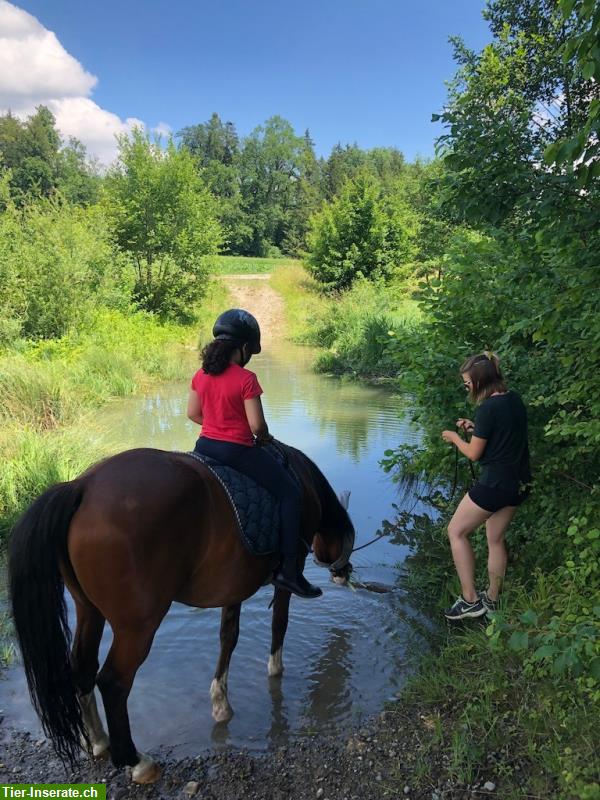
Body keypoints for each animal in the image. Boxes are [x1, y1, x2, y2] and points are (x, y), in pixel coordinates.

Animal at [7, 446, 354, 784]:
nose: (344, 573)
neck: (303, 482)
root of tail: (83, 486)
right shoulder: (286, 577)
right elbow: (279, 624)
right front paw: (275, 671)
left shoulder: (233, 588)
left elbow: (228, 638)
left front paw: (220, 702)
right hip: (138, 627)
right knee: (114, 681)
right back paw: (136, 761)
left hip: (88, 609)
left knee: (83, 667)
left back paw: (99, 741)